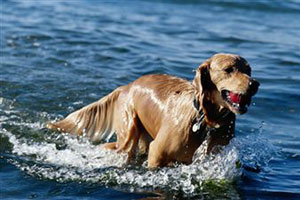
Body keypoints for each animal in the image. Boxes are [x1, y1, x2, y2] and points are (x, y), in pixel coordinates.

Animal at [47, 53, 260, 169]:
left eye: (249, 70)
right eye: (229, 69)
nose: (255, 84)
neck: (205, 120)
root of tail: (126, 86)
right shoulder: (157, 152)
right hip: (128, 133)